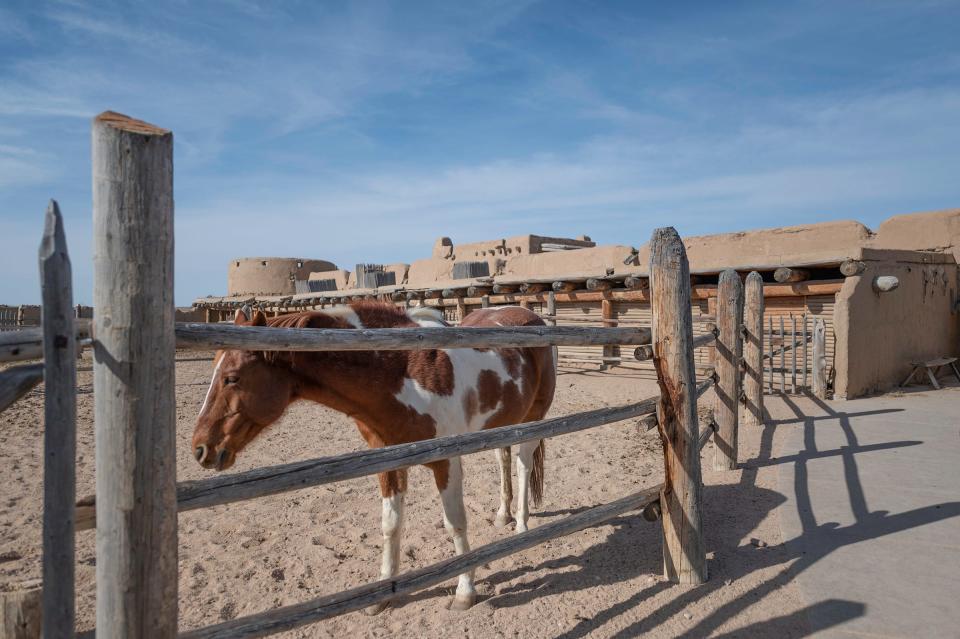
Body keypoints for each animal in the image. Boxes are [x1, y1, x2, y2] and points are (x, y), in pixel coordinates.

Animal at [191, 302, 560, 612]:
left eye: (232, 378)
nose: (200, 448)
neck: (404, 373)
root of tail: (532, 317)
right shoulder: (387, 460)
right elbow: (390, 525)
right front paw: (383, 594)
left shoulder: (446, 461)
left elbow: (454, 522)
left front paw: (465, 592)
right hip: (502, 424)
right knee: (503, 458)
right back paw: (502, 515)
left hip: (532, 418)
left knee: (523, 464)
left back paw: (521, 524)